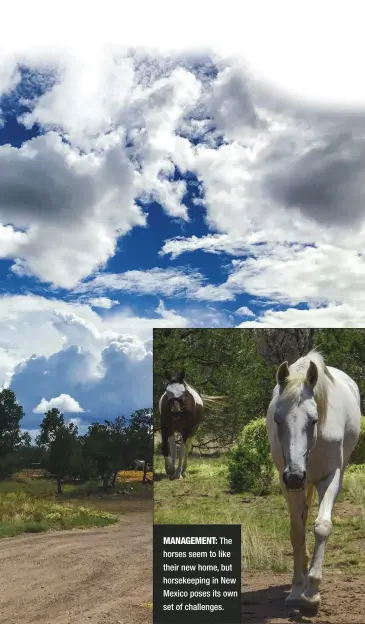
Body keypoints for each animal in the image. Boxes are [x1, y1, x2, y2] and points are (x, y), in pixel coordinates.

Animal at [266, 348, 360, 616]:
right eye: (277, 420)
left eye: (314, 420)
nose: (296, 475)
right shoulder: (287, 483)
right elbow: (297, 532)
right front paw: (297, 589)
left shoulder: (330, 478)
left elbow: (322, 527)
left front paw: (312, 592)